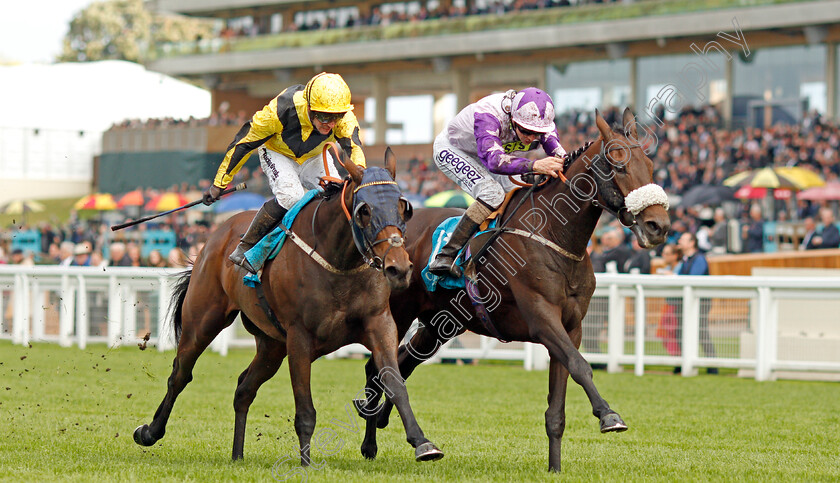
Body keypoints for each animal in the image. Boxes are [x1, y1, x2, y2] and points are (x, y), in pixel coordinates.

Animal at [133, 147, 446, 466]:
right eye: (364, 210)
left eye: (403, 207)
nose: (399, 268)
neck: (340, 262)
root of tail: (216, 235)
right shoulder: (299, 337)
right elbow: (305, 411)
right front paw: (305, 465)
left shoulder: (380, 324)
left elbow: (394, 384)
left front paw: (423, 443)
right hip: (203, 320)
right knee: (180, 374)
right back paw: (149, 432)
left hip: (271, 345)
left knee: (244, 388)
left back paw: (237, 454)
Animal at [354, 108, 668, 472]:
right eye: (618, 165)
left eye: (651, 165)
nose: (658, 226)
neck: (552, 235)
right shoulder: (542, 318)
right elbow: (580, 366)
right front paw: (609, 415)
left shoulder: (571, 327)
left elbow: (558, 403)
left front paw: (555, 468)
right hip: (397, 313)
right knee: (377, 369)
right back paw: (370, 443)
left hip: (440, 324)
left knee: (403, 365)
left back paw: (383, 421)